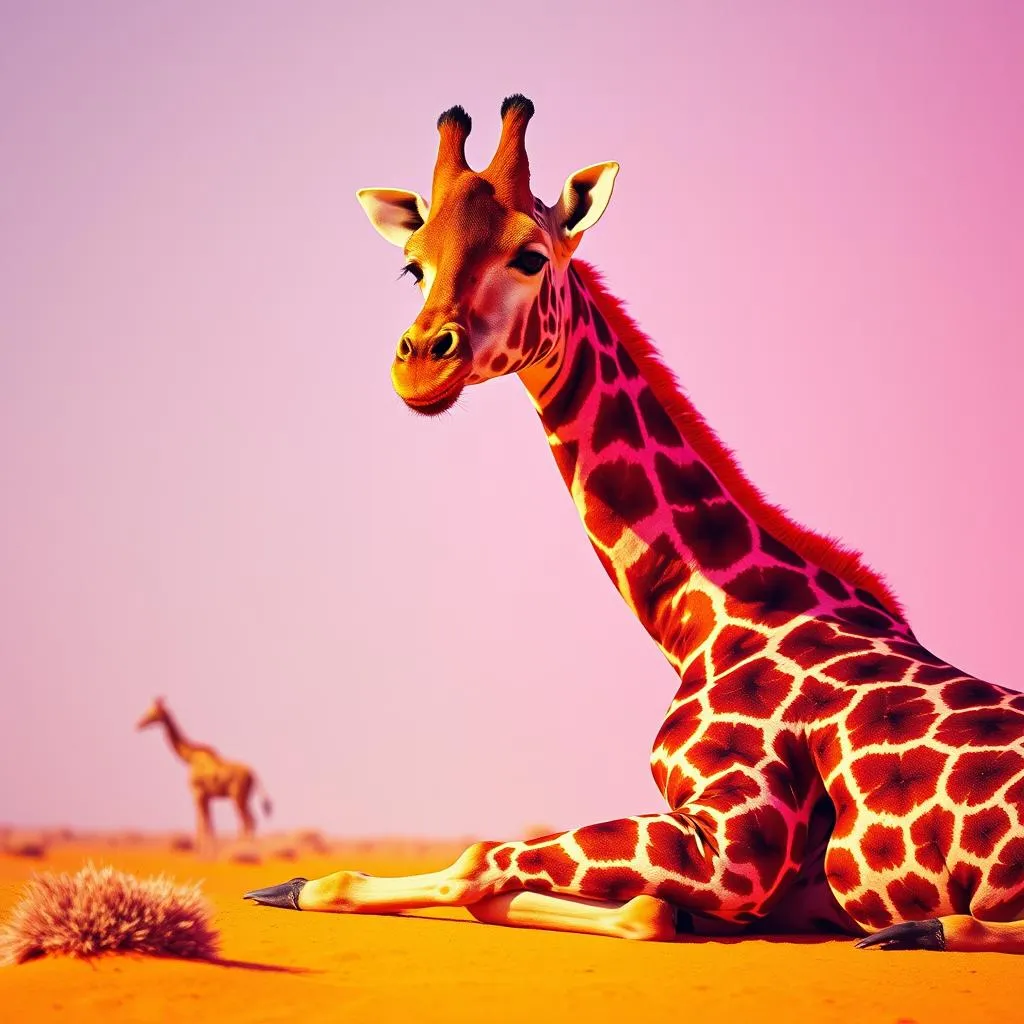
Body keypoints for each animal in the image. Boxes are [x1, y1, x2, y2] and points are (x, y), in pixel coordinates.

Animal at [137, 697, 272, 850]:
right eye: (149, 710)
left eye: (153, 712)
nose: (139, 724)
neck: (189, 758)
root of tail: (255, 775)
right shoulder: (207, 798)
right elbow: (209, 825)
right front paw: (210, 850)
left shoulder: (197, 794)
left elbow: (201, 825)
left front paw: (202, 851)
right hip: (244, 798)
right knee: (249, 821)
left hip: (237, 797)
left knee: (248, 821)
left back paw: (243, 848)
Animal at [244, 96, 1024, 952]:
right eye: (413, 266)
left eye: (531, 257)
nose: (421, 365)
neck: (703, 620)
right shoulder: (773, 886)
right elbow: (586, 896)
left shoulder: (737, 847)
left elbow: (486, 861)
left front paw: (292, 885)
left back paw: (922, 929)